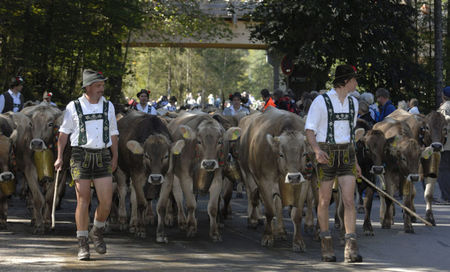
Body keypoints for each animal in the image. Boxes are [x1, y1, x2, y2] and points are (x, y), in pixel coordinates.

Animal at [239, 107, 312, 252]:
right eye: (281, 154)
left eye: (304, 154)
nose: (293, 177)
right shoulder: (264, 182)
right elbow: (269, 211)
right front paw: (267, 236)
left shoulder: (304, 184)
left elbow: (297, 215)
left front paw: (298, 241)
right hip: (248, 175)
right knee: (252, 197)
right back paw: (253, 220)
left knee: (277, 204)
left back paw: (281, 231)